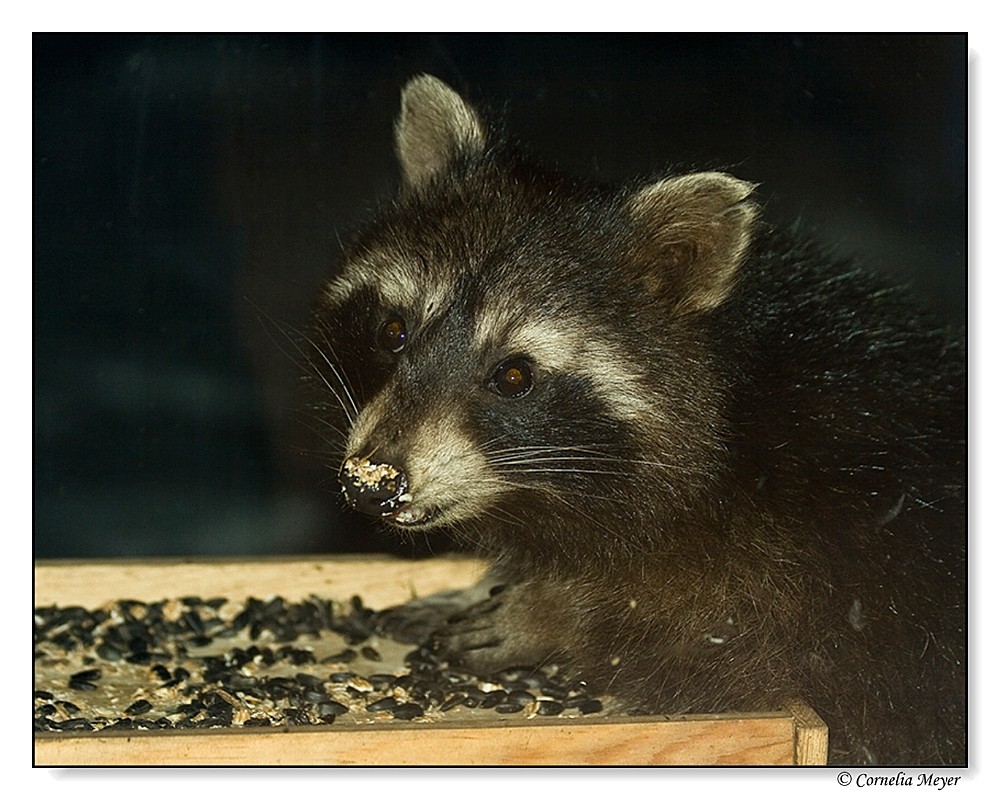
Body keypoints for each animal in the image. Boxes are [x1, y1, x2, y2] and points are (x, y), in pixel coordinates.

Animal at [308, 76, 964, 768]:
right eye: (393, 331)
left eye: (513, 376)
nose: (373, 483)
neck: (733, 398)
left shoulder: (823, 526)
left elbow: (730, 621)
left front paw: (553, 610)